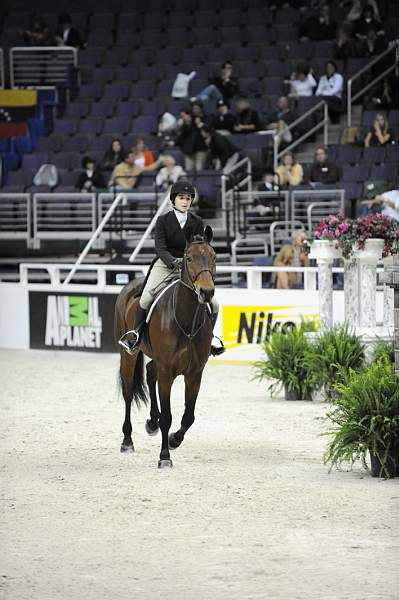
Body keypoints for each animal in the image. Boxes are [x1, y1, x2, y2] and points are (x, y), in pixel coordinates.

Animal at [114, 225, 217, 468]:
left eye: (214, 257)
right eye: (188, 258)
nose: (207, 292)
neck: (187, 322)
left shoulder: (194, 373)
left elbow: (189, 416)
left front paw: (173, 441)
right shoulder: (167, 372)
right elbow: (168, 417)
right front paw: (164, 457)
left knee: (150, 373)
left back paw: (151, 422)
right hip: (128, 354)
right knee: (129, 390)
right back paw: (127, 441)